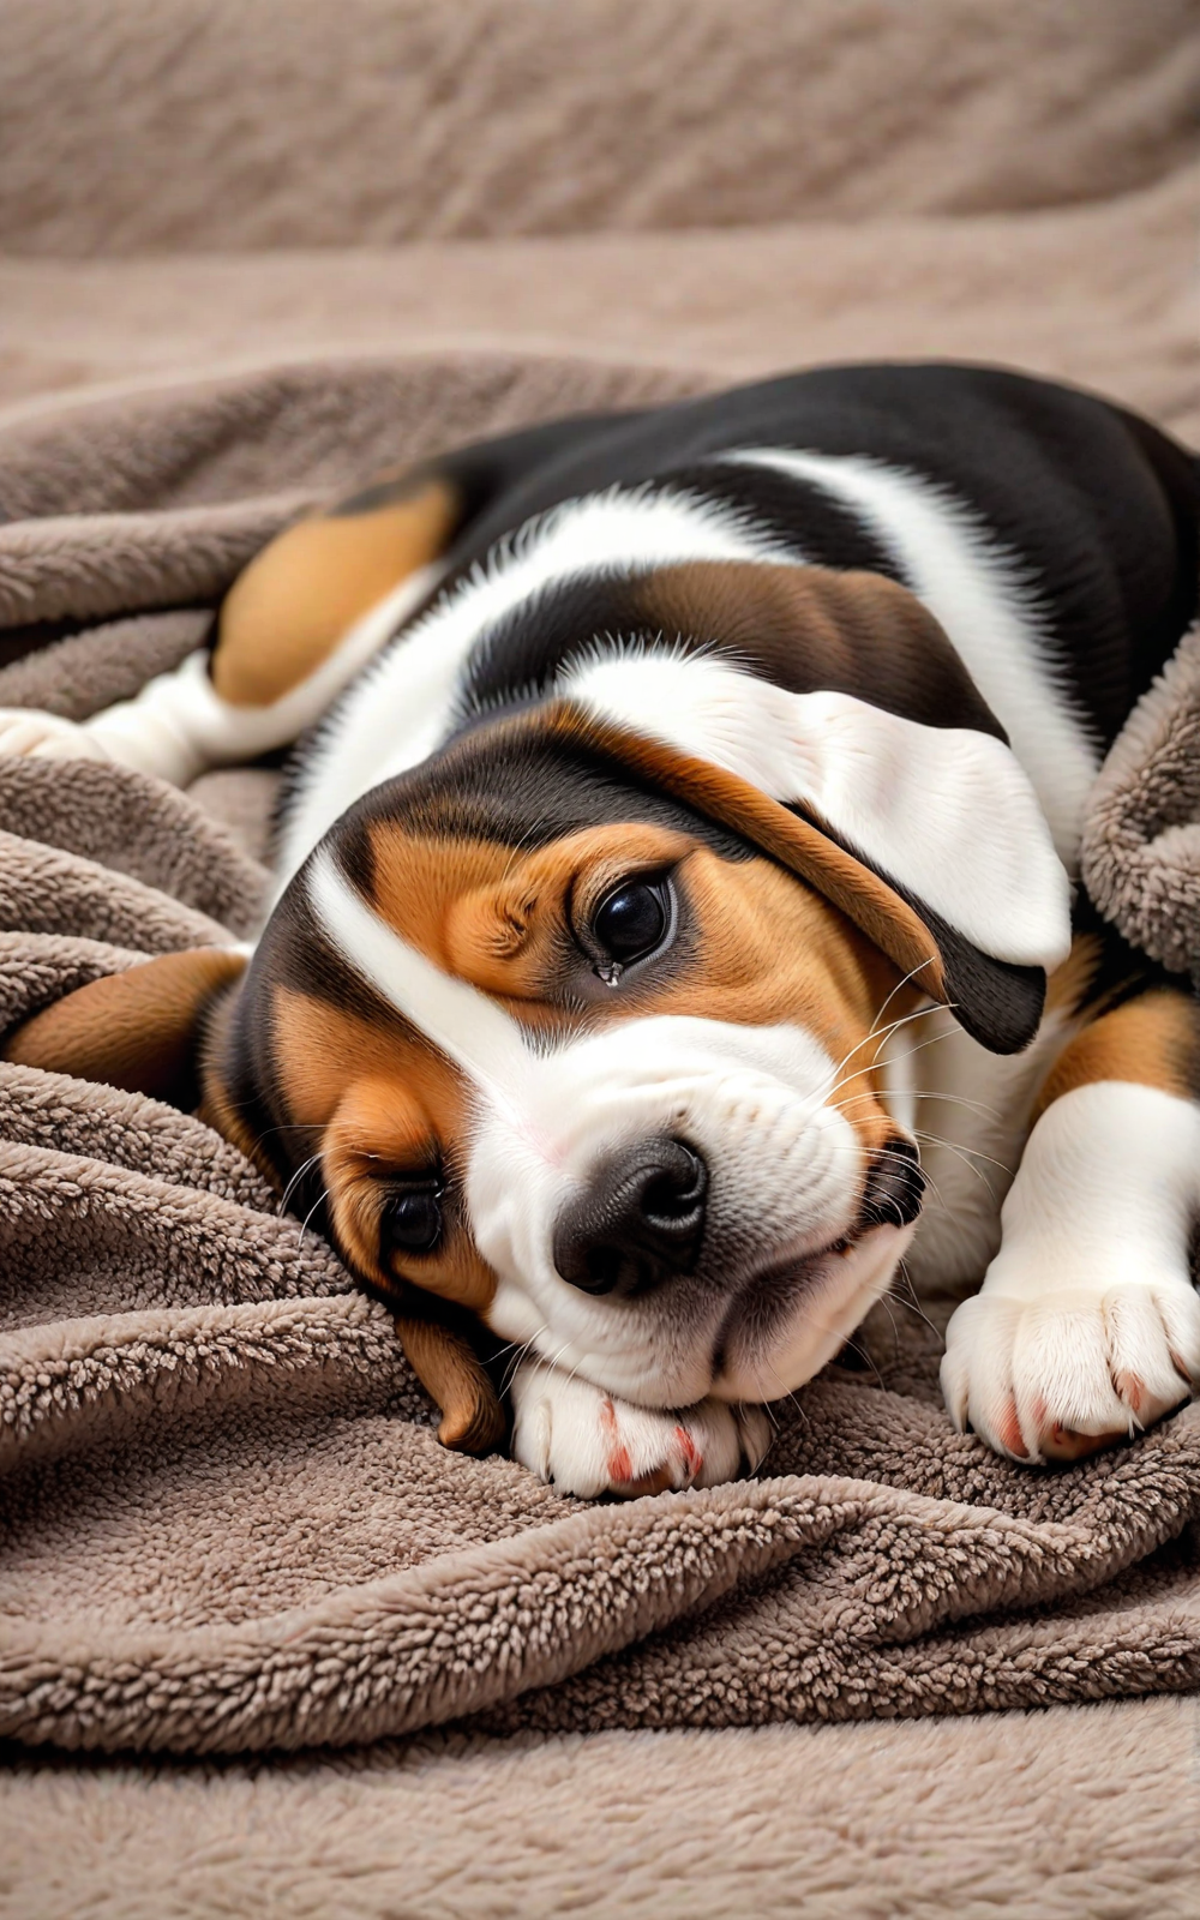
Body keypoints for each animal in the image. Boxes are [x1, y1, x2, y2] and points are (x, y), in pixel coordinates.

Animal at [2, 362, 1198, 1497]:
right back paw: (63, 748)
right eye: (411, 1216)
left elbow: (1105, 1086)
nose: (627, 1217)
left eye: (629, 917)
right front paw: (587, 1399)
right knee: (193, 699)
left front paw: (1066, 1306)